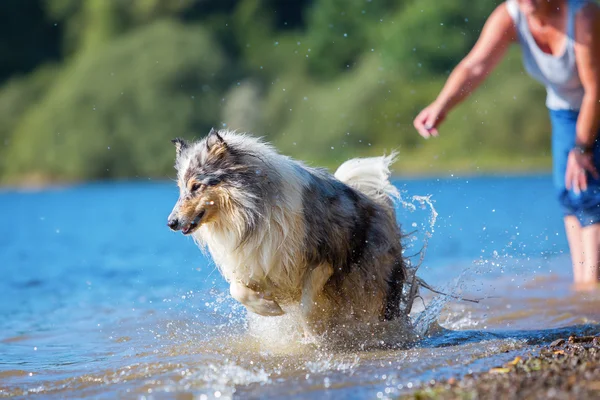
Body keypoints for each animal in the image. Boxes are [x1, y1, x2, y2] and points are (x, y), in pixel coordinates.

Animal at [166, 128, 414, 340]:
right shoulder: (253, 263)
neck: (249, 213)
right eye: (180, 188)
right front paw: (269, 307)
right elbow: (237, 290)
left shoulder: (321, 260)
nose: (171, 222)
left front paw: (314, 337)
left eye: (196, 186)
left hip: (374, 281)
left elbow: (307, 308)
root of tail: (374, 199)